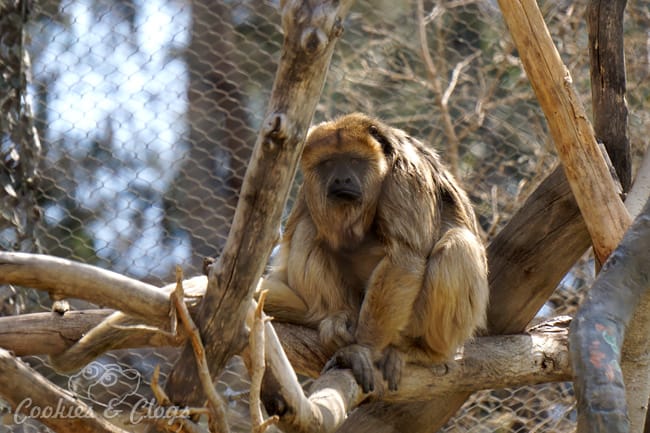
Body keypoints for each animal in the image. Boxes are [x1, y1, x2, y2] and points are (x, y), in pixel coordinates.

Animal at [260, 113, 489, 392]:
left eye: (354, 161)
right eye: (328, 164)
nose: (341, 179)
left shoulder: (405, 175)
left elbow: (404, 256)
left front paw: (365, 349)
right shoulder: (308, 190)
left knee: (458, 244)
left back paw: (421, 350)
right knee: (308, 227)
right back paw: (336, 317)